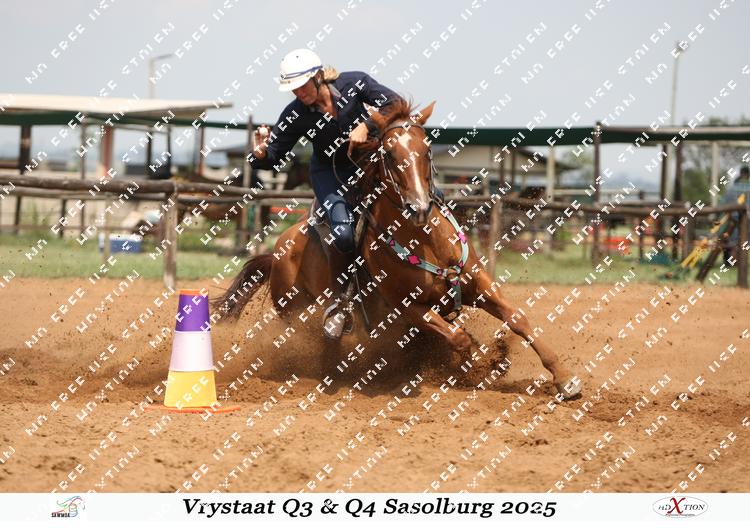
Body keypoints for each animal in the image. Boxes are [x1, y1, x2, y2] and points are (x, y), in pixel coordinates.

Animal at [213, 99, 582, 400]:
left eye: (427, 149)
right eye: (389, 154)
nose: (418, 206)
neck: (427, 243)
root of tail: (277, 252)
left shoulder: (480, 285)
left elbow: (517, 319)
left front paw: (565, 379)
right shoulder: (409, 309)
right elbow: (458, 338)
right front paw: (483, 362)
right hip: (296, 313)